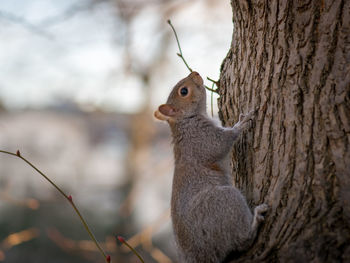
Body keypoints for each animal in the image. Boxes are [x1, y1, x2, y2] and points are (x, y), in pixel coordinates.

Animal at [154, 72, 268, 263]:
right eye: (183, 91)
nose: (195, 73)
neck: (185, 121)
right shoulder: (201, 139)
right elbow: (221, 143)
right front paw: (241, 123)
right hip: (223, 202)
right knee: (241, 241)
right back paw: (256, 220)